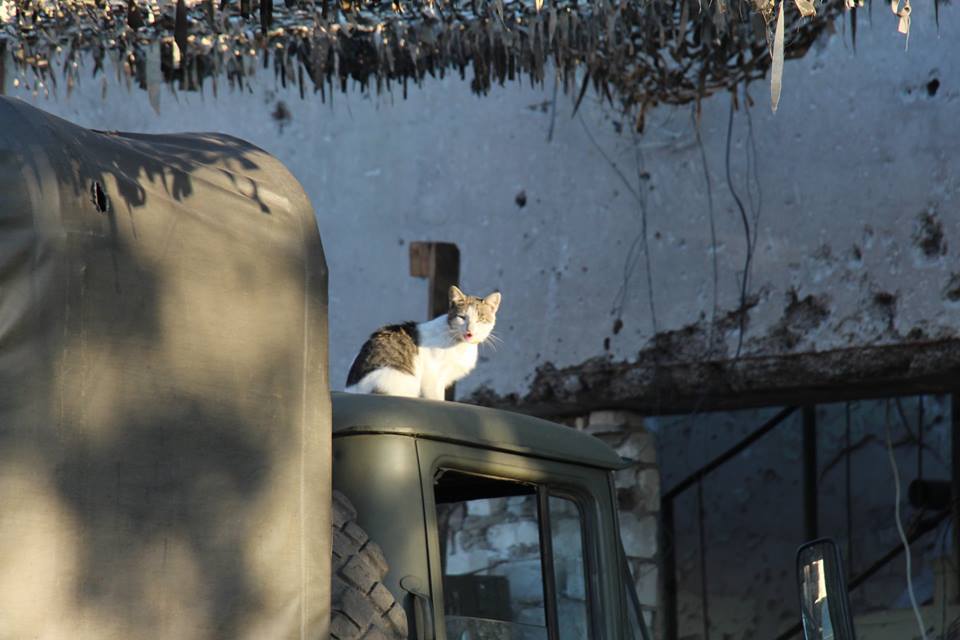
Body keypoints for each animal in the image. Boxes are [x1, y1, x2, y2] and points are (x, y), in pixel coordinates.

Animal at [344, 286, 502, 400]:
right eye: (462, 317)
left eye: (480, 319)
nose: (470, 330)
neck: (459, 343)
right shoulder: (432, 377)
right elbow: (436, 398)